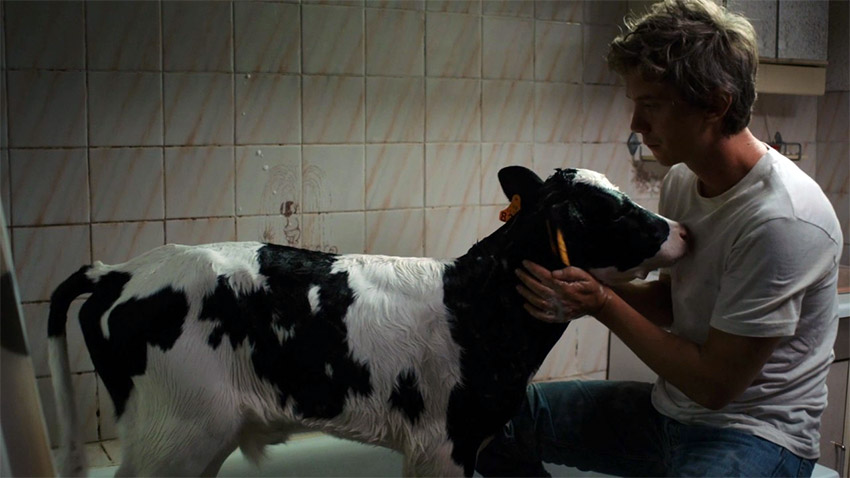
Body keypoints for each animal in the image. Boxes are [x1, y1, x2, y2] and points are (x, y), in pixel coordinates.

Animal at [48, 166, 688, 477]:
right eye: (611, 211)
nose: (679, 228)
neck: (478, 306)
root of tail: (121, 269)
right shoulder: (443, 445)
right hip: (174, 432)